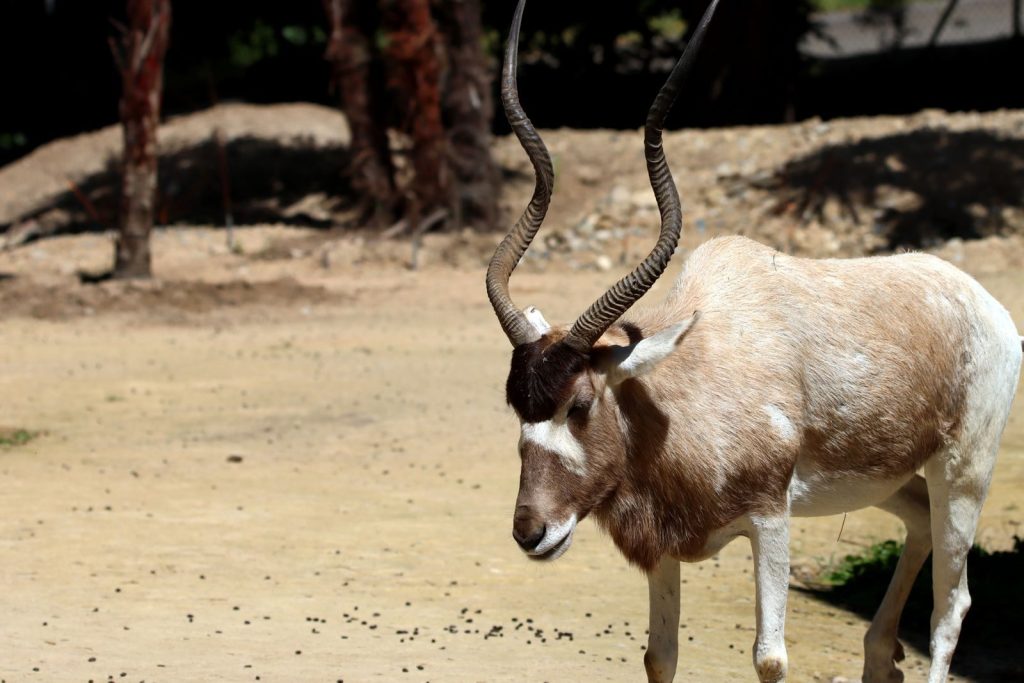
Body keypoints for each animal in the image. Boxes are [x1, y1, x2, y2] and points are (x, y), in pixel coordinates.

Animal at [486, 1, 1022, 681]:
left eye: (579, 404)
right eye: (516, 407)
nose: (531, 531)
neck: (683, 389)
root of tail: (984, 305)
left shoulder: (771, 519)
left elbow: (769, 657)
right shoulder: (663, 543)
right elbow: (660, 656)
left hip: (963, 475)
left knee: (951, 606)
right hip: (894, 482)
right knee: (920, 530)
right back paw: (881, 653)